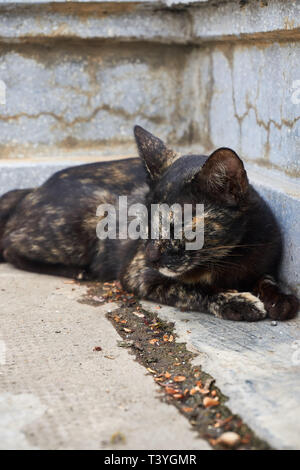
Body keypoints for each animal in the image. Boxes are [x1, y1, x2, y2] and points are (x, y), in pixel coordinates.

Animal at [0, 126, 298, 322]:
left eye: (178, 226)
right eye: (142, 224)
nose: (151, 255)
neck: (227, 258)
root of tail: (31, 190)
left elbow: (266, 278)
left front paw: (279, 299)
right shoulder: (138, 274)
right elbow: (191, 289)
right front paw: (237, 301)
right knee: (10, 247)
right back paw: (79, 272)